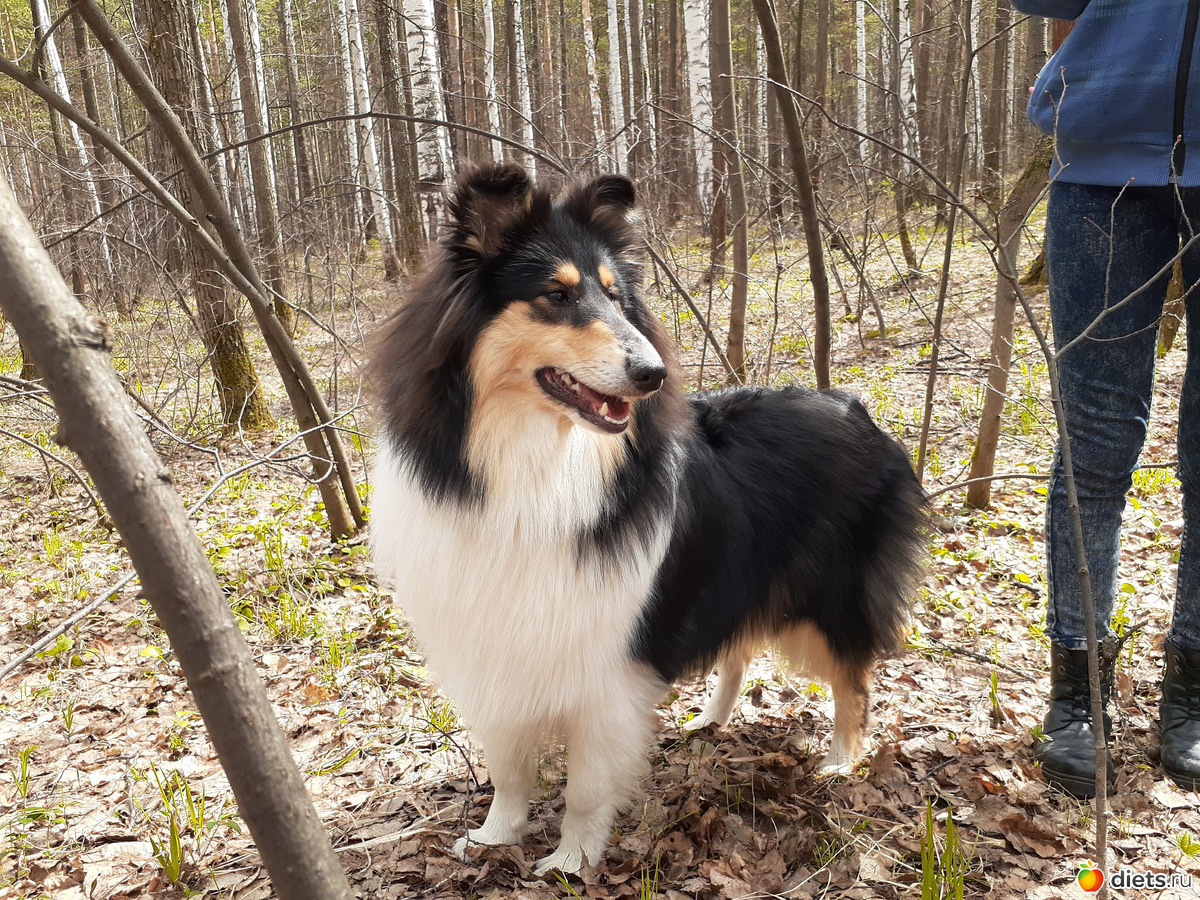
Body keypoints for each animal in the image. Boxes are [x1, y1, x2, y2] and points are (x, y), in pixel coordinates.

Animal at [368, 163, 926, 875]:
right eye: (555, 294)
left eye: (615, 296)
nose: (654, 374)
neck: (534, 463)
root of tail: (858, 409)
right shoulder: (499, 651)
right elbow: (511, 769)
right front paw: (496, 837)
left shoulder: (607, 668)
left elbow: (584, 786)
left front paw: (569, 863)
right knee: (739, 650)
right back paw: (711, 721)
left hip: (827, 602)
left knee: (853, 681)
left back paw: (839, 762)